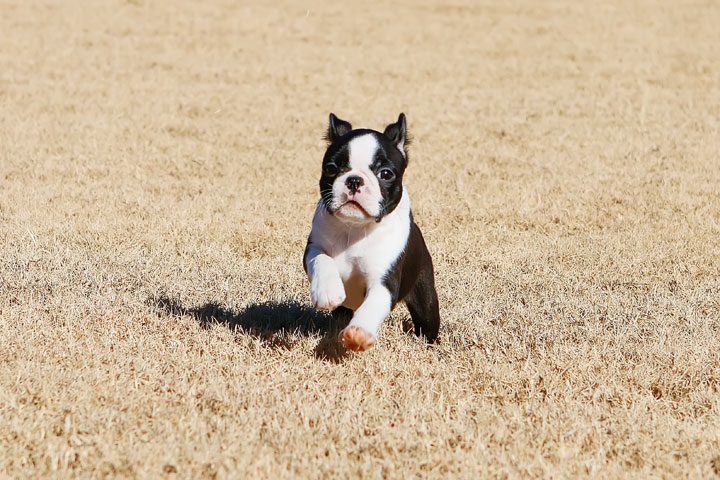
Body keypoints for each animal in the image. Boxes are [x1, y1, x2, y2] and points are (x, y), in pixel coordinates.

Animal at [302, 113, 438, 352]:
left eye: (386, 174)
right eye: (331, 168)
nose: (354, 179)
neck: (355, 229)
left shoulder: (385, 281)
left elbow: (374, 304)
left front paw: (360, 332)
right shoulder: (313, 246)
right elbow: (321, 259)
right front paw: (327, 291)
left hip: (425, 300)